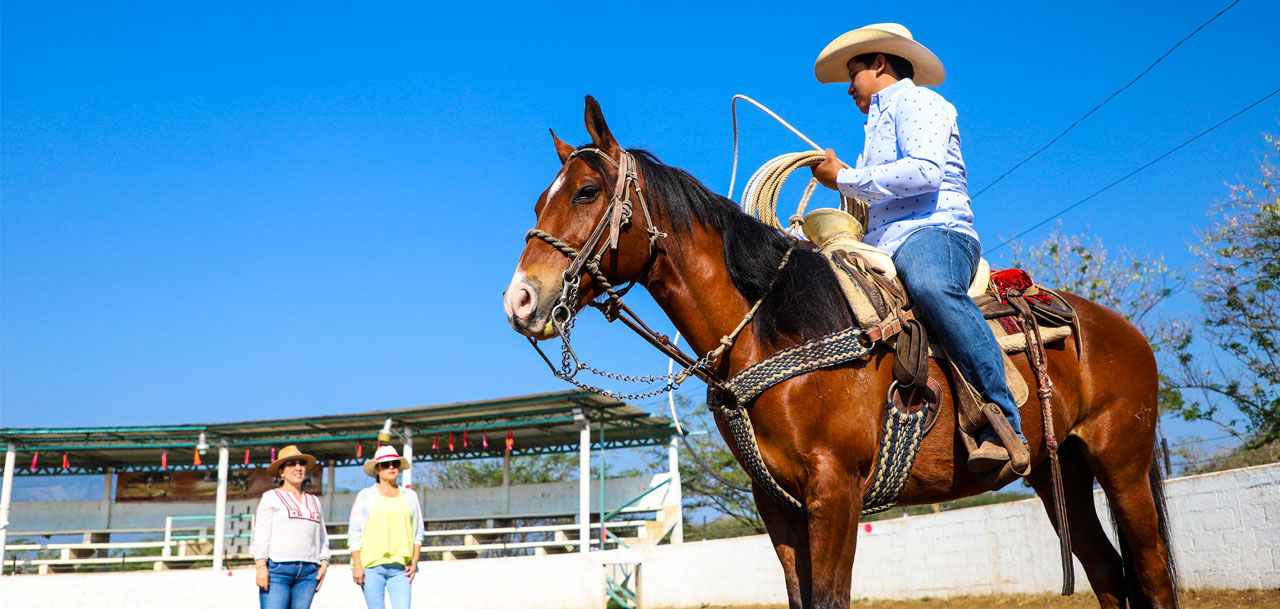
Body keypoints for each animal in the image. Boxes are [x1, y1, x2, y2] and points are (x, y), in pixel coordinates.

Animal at [501, 97, 1177, 606]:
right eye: (538, 202)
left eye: (587, 192)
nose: (521, 301)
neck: (778, 323)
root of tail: (1119, 329)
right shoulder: (777, 501)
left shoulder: (836, 489)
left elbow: (830, 598)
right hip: (1058, 471)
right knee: (1108, 574)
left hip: (1121, 461)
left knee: (1148, 573)